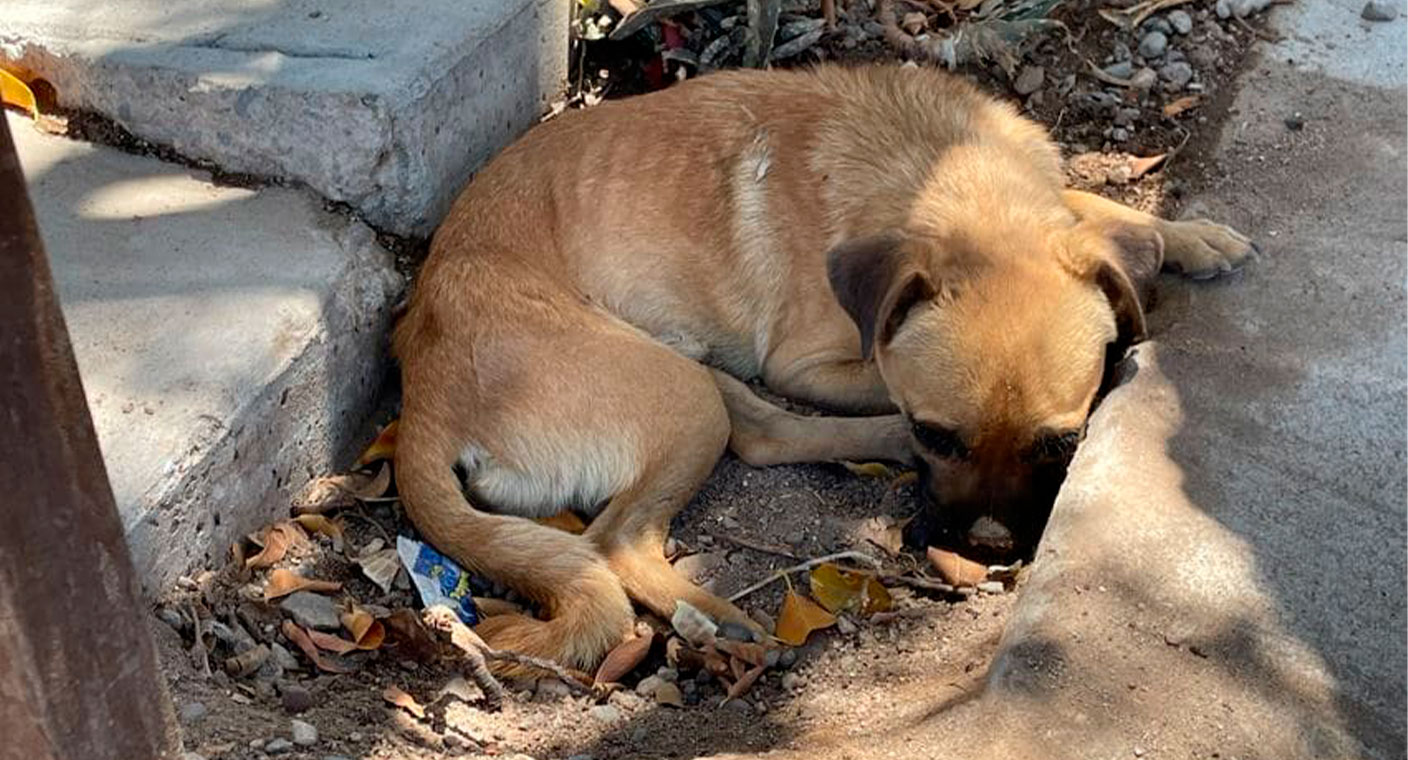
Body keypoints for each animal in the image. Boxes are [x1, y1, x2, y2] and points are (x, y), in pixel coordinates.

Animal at [388, 66, 1255, 669]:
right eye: (939, 435)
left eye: (1060, 445)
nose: (982, 550)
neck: (942, 177)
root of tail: (421, 401)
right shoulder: (808, 363)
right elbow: (881, 377)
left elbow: (1093, 211)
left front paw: (1189, 236)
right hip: (677, 391)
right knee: (622, 535)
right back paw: (718, 608)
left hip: (683, 374)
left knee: (752, 436)